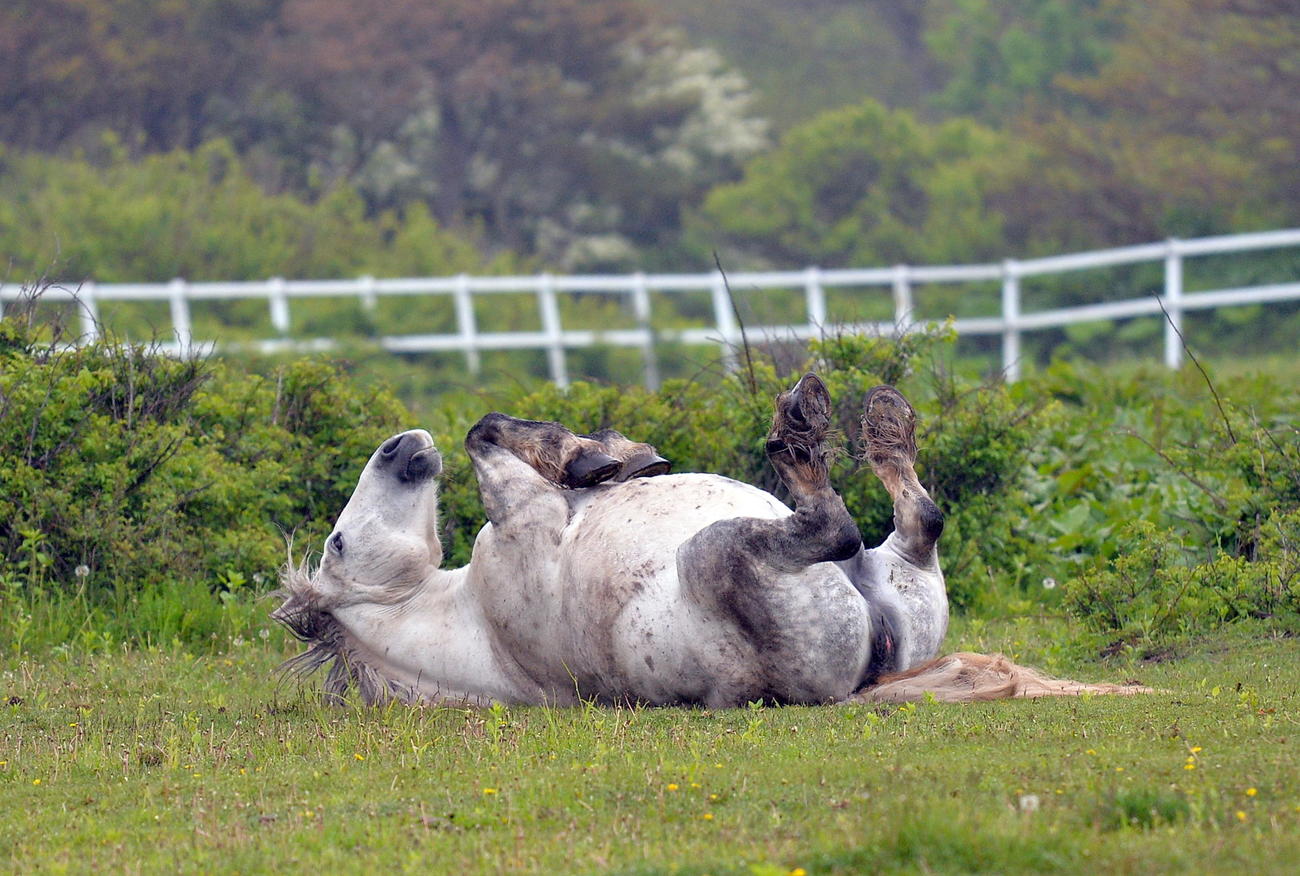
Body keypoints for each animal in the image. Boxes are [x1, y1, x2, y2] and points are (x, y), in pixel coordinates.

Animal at [274, 374, 1146, 706]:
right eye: (340, 543)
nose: (401, 445)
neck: (469, 623)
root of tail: (872, 668)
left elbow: (502, 430)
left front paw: (613, 457)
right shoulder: (523, 521)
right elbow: (487, 435)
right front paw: (593, 457)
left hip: (896, 572)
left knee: (919, 519)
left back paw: (883, 422)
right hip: (727, 554)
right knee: (838, 525)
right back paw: (801, 432)